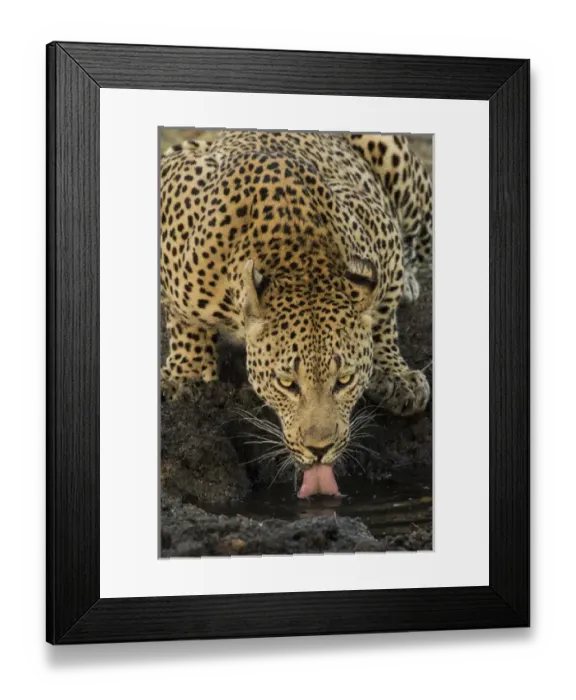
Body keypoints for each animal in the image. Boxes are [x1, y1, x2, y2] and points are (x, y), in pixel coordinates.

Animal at [159, 129, 433, 497]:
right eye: (287, 384)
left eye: (344, 381)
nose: (319, 449)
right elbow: (184, 318)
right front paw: (185, 374)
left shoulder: (376, 223)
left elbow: (383, 309)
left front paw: (395, 375)